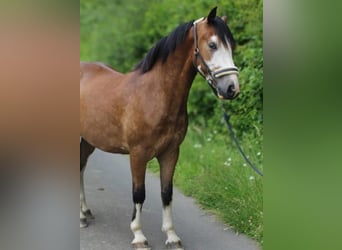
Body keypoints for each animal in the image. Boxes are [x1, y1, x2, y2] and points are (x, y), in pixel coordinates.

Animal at [80, 6, 240, 249]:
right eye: (212, 45)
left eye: (232, 45)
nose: (231, 88)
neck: (155, 95)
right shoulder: (138, 155)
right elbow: (139, 194)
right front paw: (138, 236)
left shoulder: (170, 153)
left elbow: (166, 193)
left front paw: (171, 236)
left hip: (88, 142)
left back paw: (85, 212)